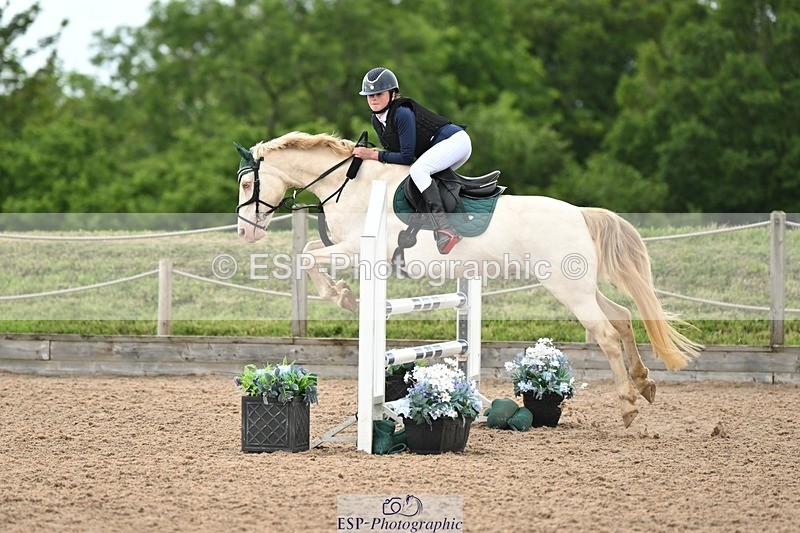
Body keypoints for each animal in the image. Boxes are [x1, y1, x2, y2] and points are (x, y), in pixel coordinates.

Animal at [235, 131, 701, 427]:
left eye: (245, 183)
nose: (244, 232)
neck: (350, 186)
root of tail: (580, 214)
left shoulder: (359, 251)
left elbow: (306, 257)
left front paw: (344, 297)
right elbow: (310, 253)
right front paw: (343, 295)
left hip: (567, 288)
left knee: (604, 332)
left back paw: (627, 406)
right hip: (579, 286)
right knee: (622, 317)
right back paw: (645, 384)